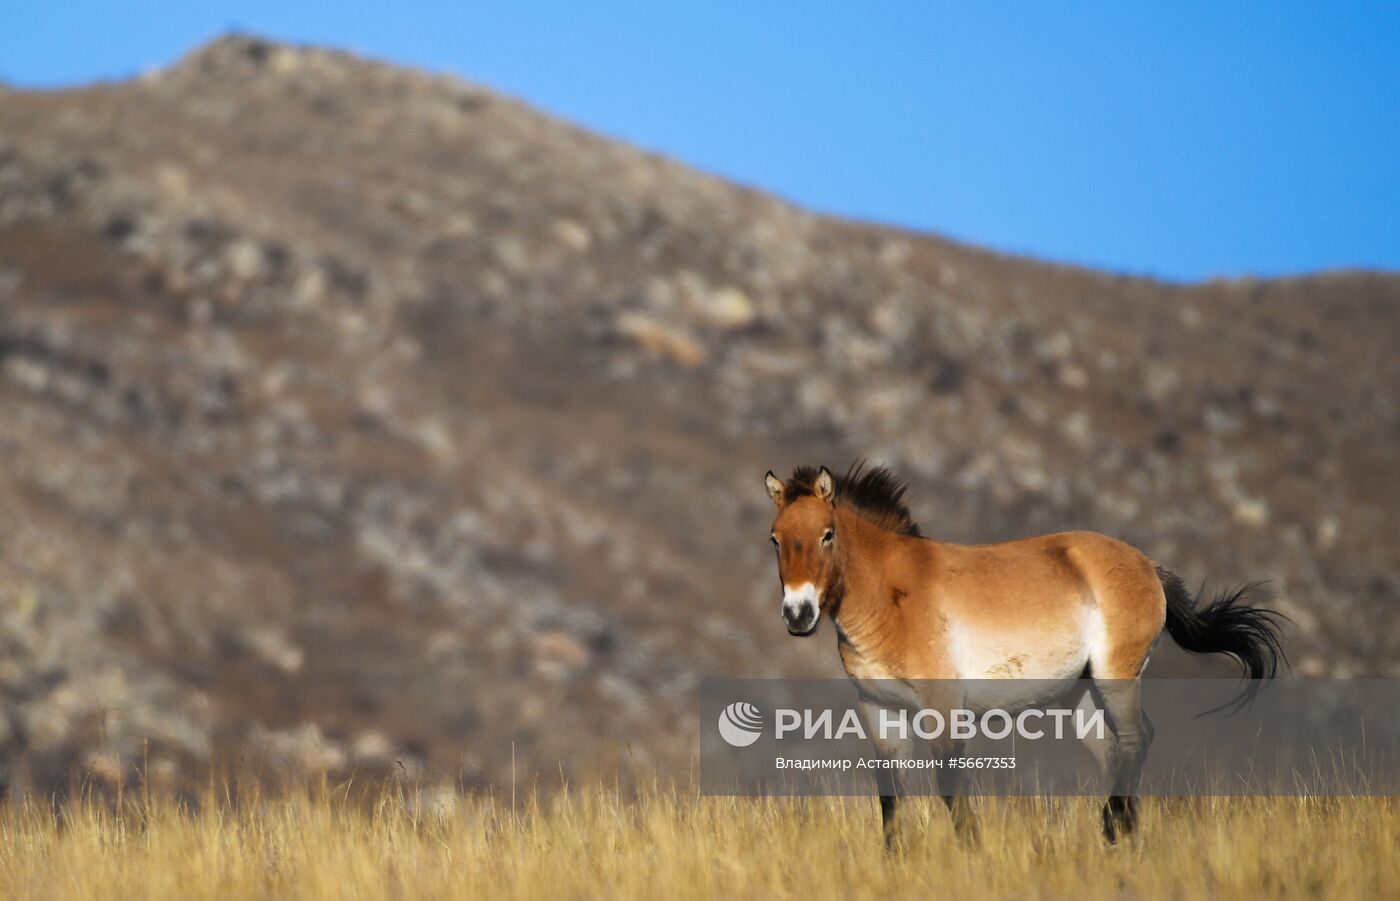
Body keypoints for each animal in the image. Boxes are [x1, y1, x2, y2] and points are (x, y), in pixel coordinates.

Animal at [761, 461, 1282, 850]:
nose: (798, 614)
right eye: (775, 538)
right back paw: (1121, 835)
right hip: (1082, 697)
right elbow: (890, 796)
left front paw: (971, 853)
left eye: (828, 533)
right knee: (1115, 750)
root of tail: (1147, 565)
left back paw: (1115, 829)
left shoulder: (942, 709)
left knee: (1137, 739)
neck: (891, 596)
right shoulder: (877, 710)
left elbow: (950, 783)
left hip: (1116, 678)